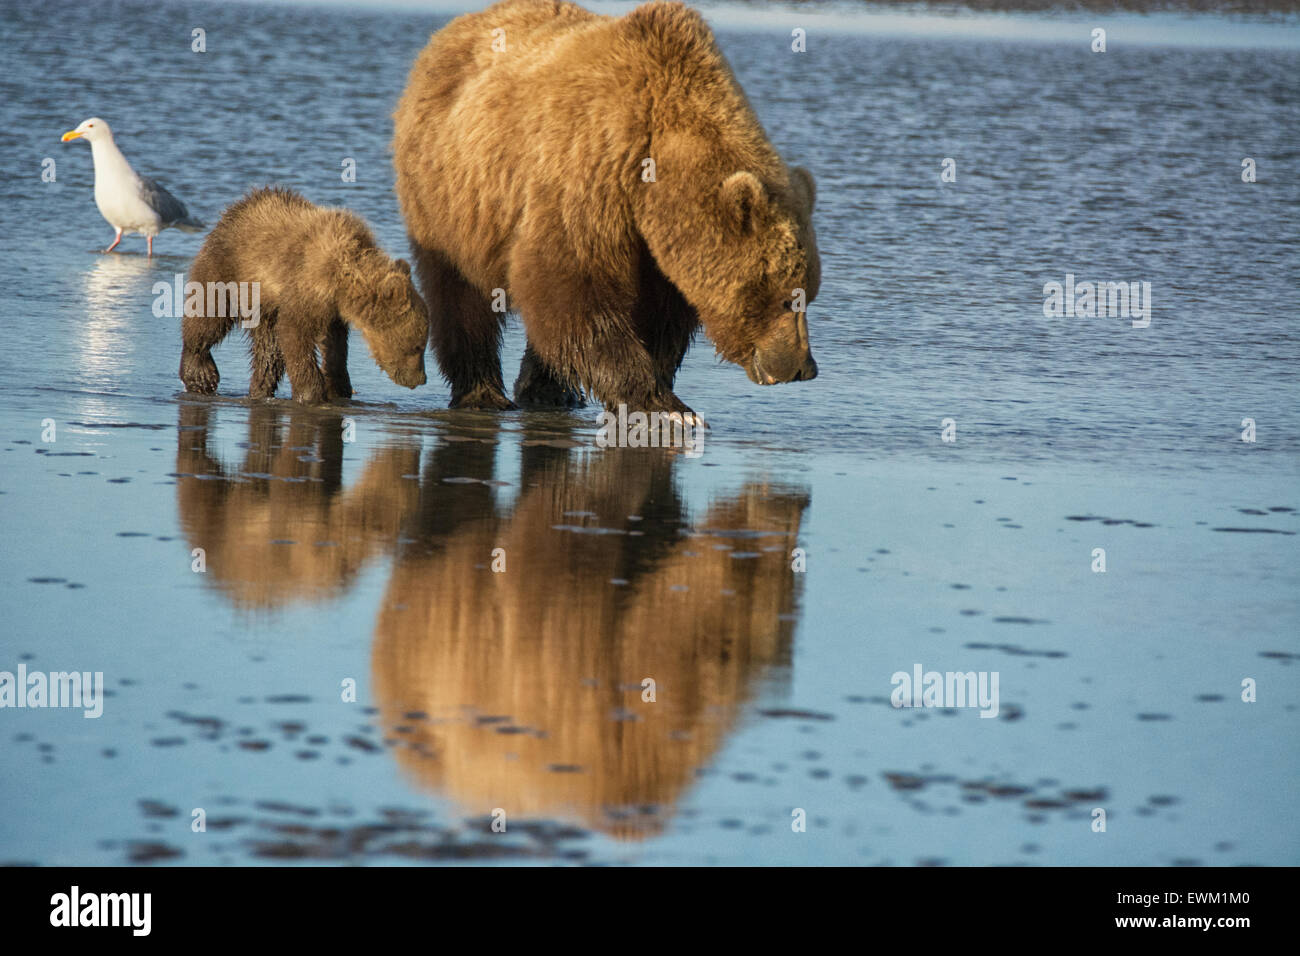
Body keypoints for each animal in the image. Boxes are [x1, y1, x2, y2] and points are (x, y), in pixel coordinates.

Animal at [178, 187, 428, 403]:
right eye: (418, 347)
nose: (421, 379)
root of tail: (236, 207)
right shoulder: (308, 283)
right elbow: (294, 333)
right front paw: (311, 393)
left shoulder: (332, 310)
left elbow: (335, 345)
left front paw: (339, 387)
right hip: (230, 267)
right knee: (209, 314)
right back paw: (200, 374)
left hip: (262, 302)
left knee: (267, 348)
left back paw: (259, 389)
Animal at [395, 0, 816, 418]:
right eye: (784, 297)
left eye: (808, 294)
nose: (802, 368)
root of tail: (450, 31)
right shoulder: (591, 174)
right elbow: (575, 283)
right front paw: (665, 404)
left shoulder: (654, 242)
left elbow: (658, 314)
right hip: (450, 196)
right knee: (460, 294)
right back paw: (482, 392)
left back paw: (551, 389)